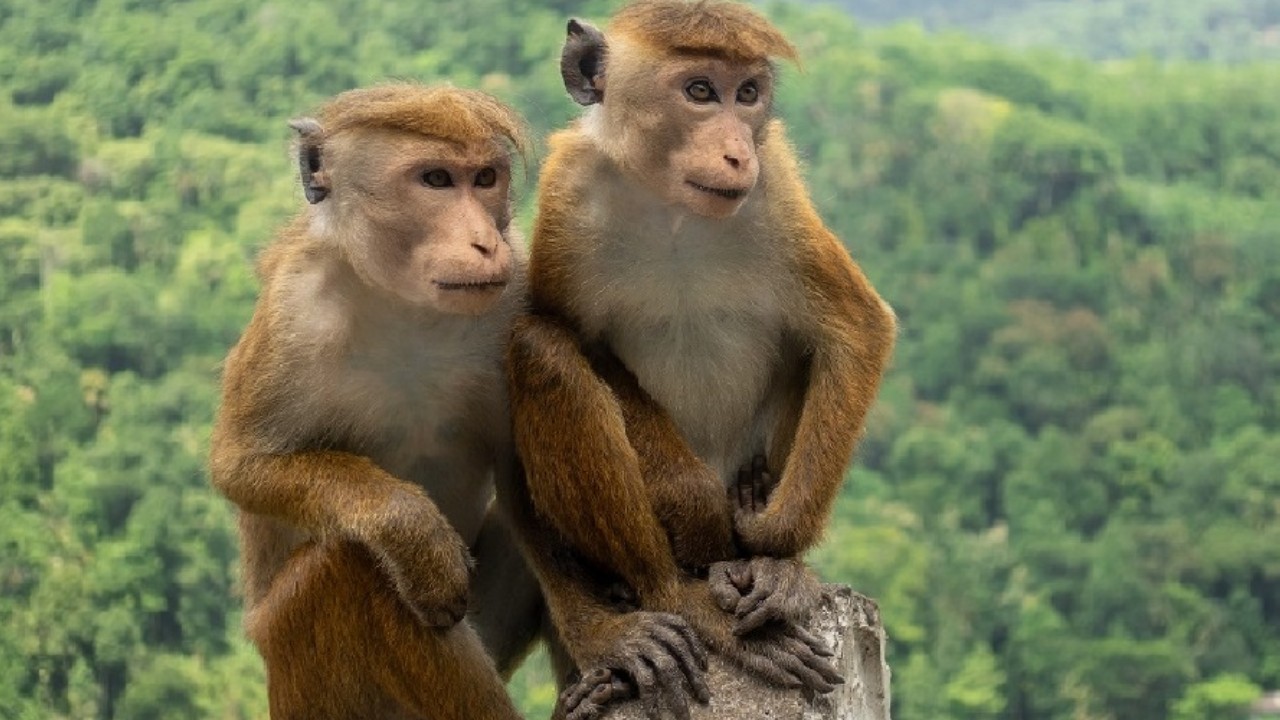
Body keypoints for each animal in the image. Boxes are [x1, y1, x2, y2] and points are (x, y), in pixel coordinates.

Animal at [208, 83, 541, 720]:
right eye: (436, 180)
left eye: (485, 178)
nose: (485, 242)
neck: (403, 305)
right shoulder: (293, 313)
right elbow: (241, 465)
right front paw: (410, 530)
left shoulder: (515, 289)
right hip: (298, 675)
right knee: (343, 566)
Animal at [503, 1, 897, 717]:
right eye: (699, 91)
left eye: (748, 94)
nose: (737, 149)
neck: (673, 209)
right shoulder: (569, 196)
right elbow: (576, 338)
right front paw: (696, 506)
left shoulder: (776, 191)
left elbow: (856, 328)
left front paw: (775, 547)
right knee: (538, 349)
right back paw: (671, 594)